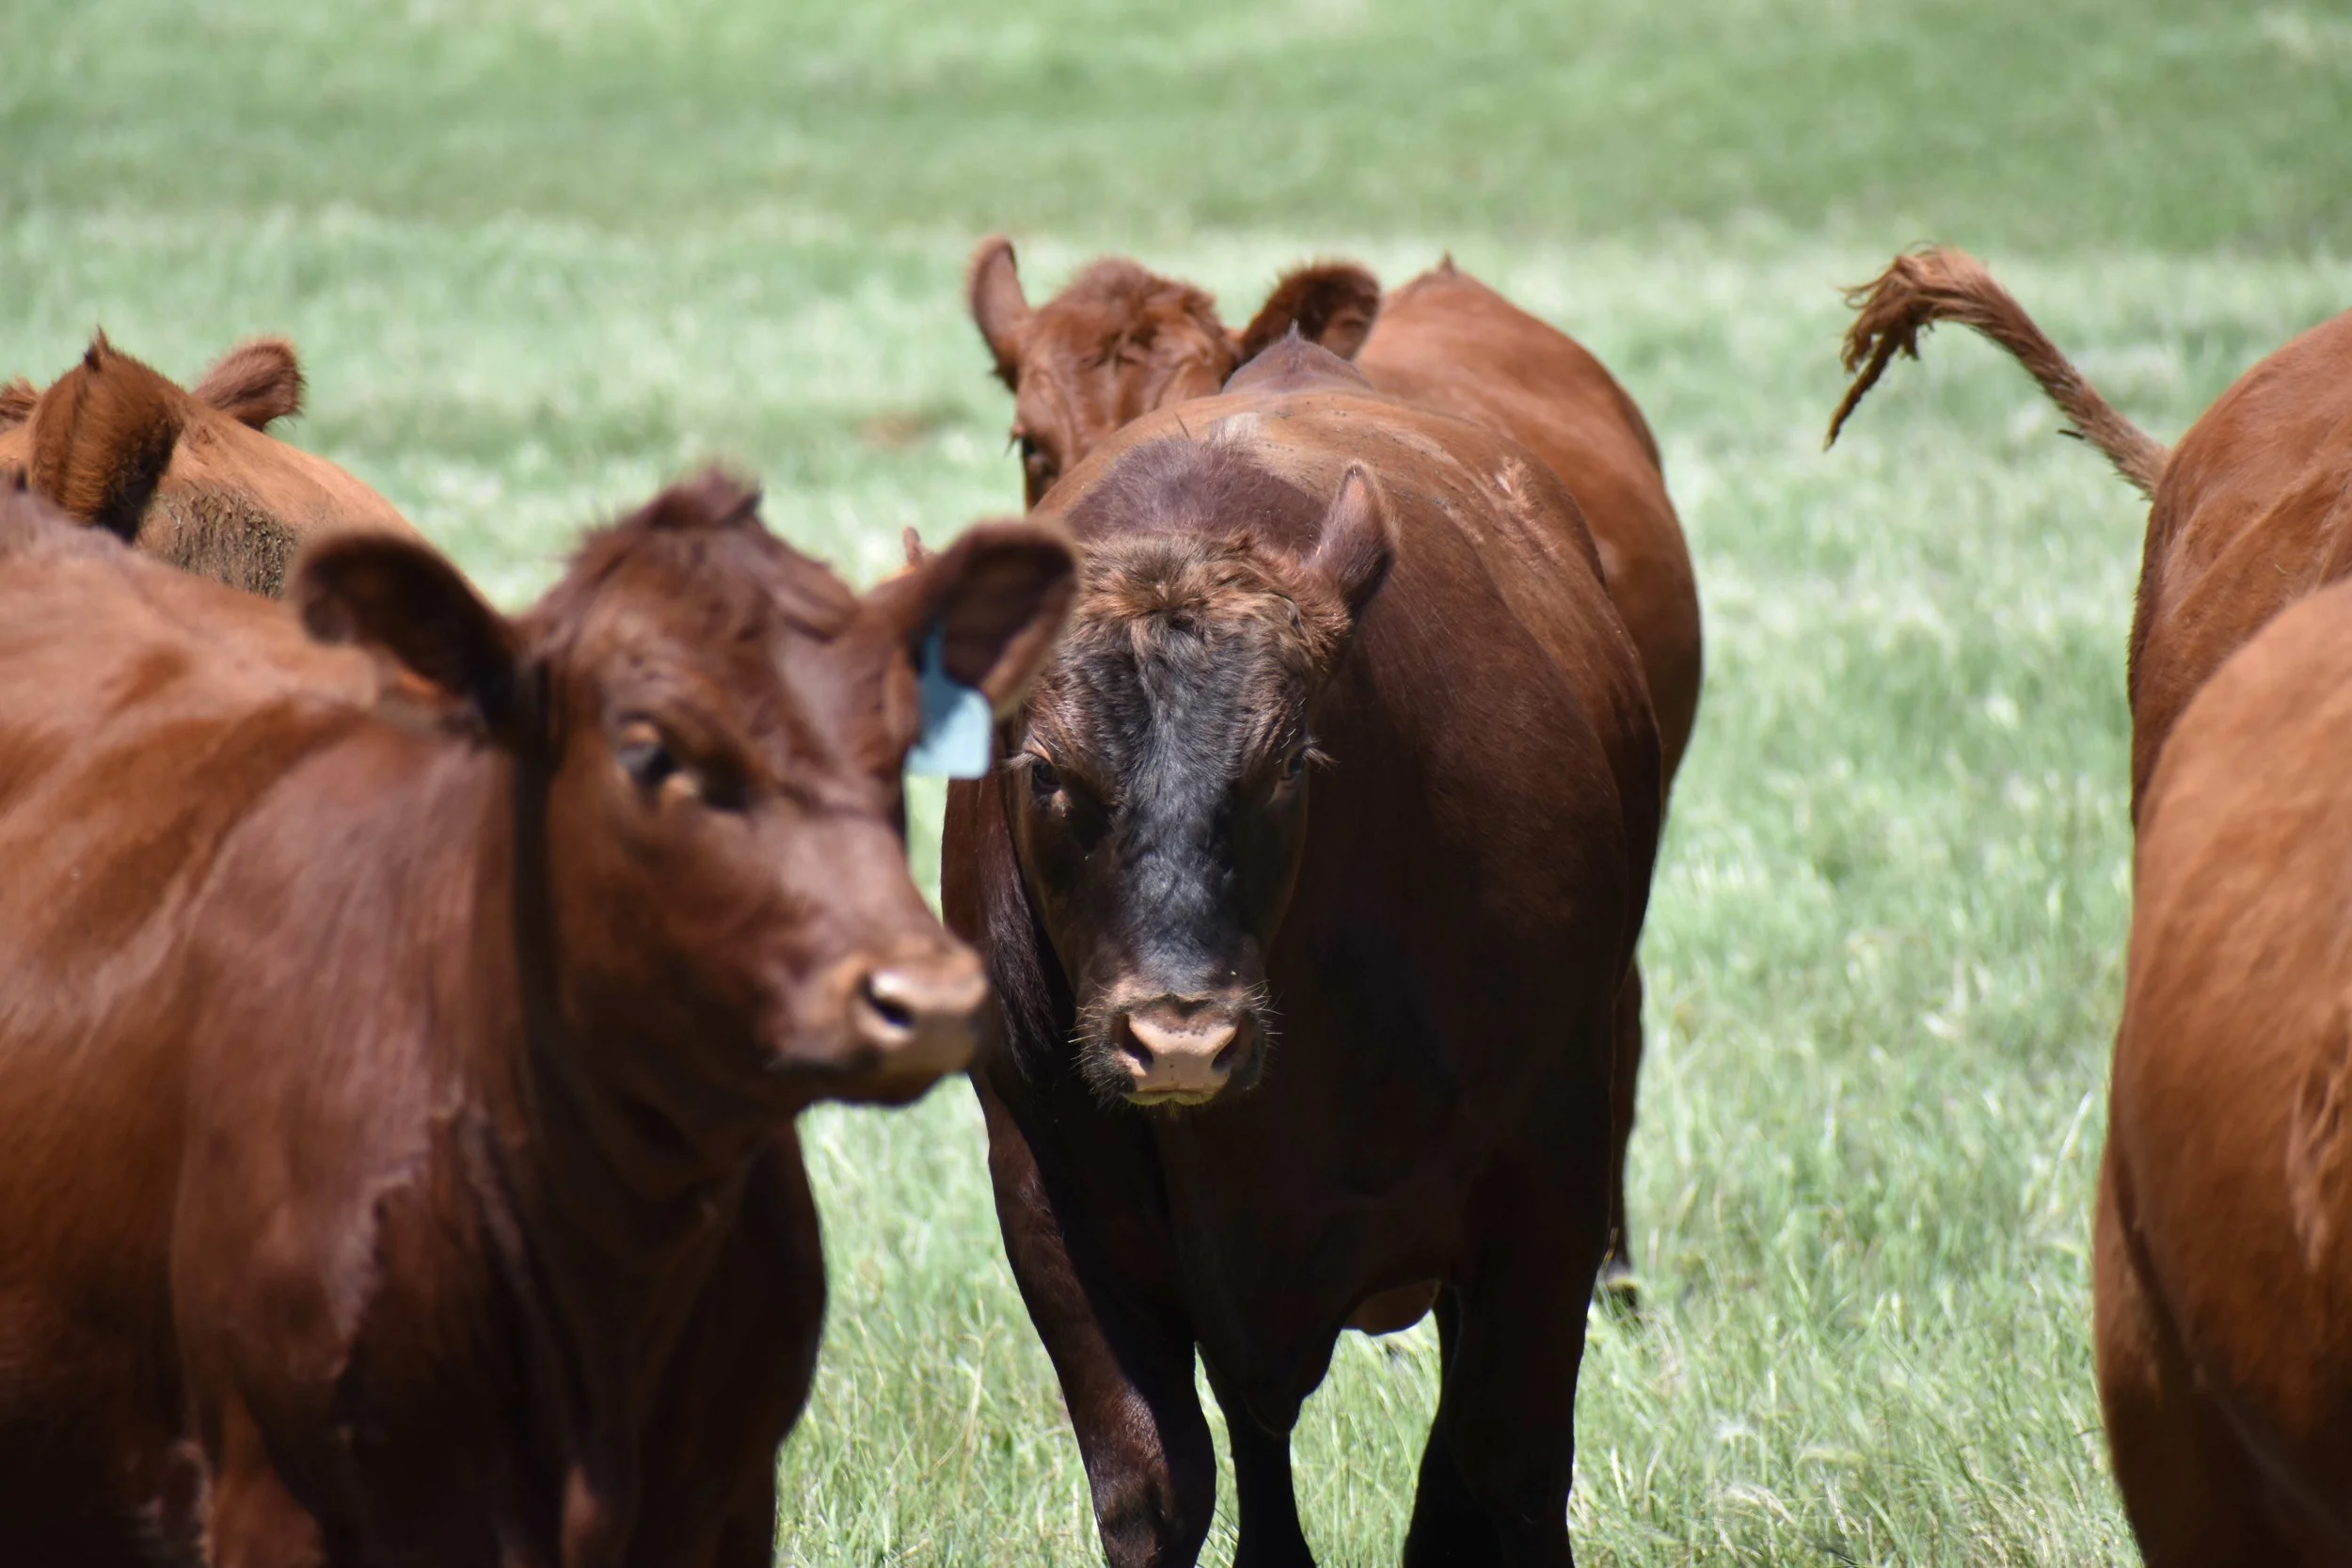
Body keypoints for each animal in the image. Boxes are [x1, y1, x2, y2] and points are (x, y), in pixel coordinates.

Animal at [939, 335, 1661, 1566]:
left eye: (1285, 763)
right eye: (1042, 771)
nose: (1181, 1036)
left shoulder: (1547, 1176)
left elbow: (1507, 1469)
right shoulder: (1047, 1192)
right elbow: (1155, 1482)